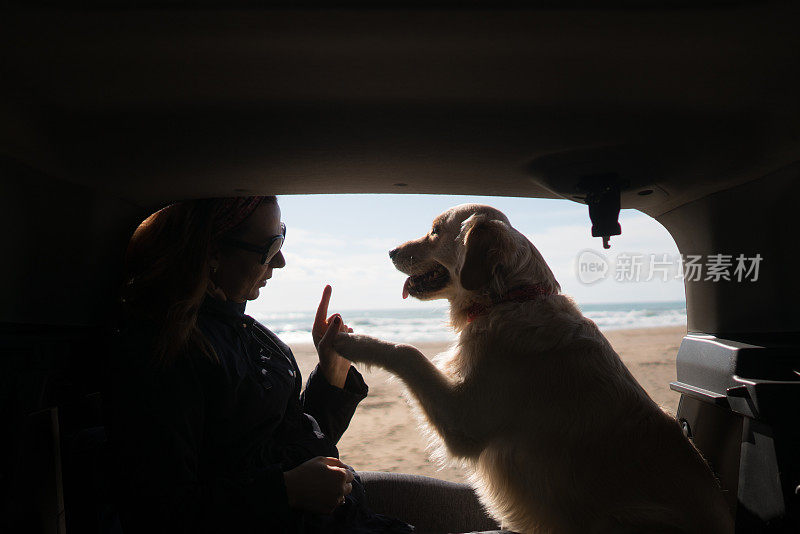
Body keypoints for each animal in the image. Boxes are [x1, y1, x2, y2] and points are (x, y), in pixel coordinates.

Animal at [332, 205, 732, 534]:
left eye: (434, 231)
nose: (391, 251)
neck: (508, 299)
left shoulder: (465, 421)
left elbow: (408, 351)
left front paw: (350, 342)